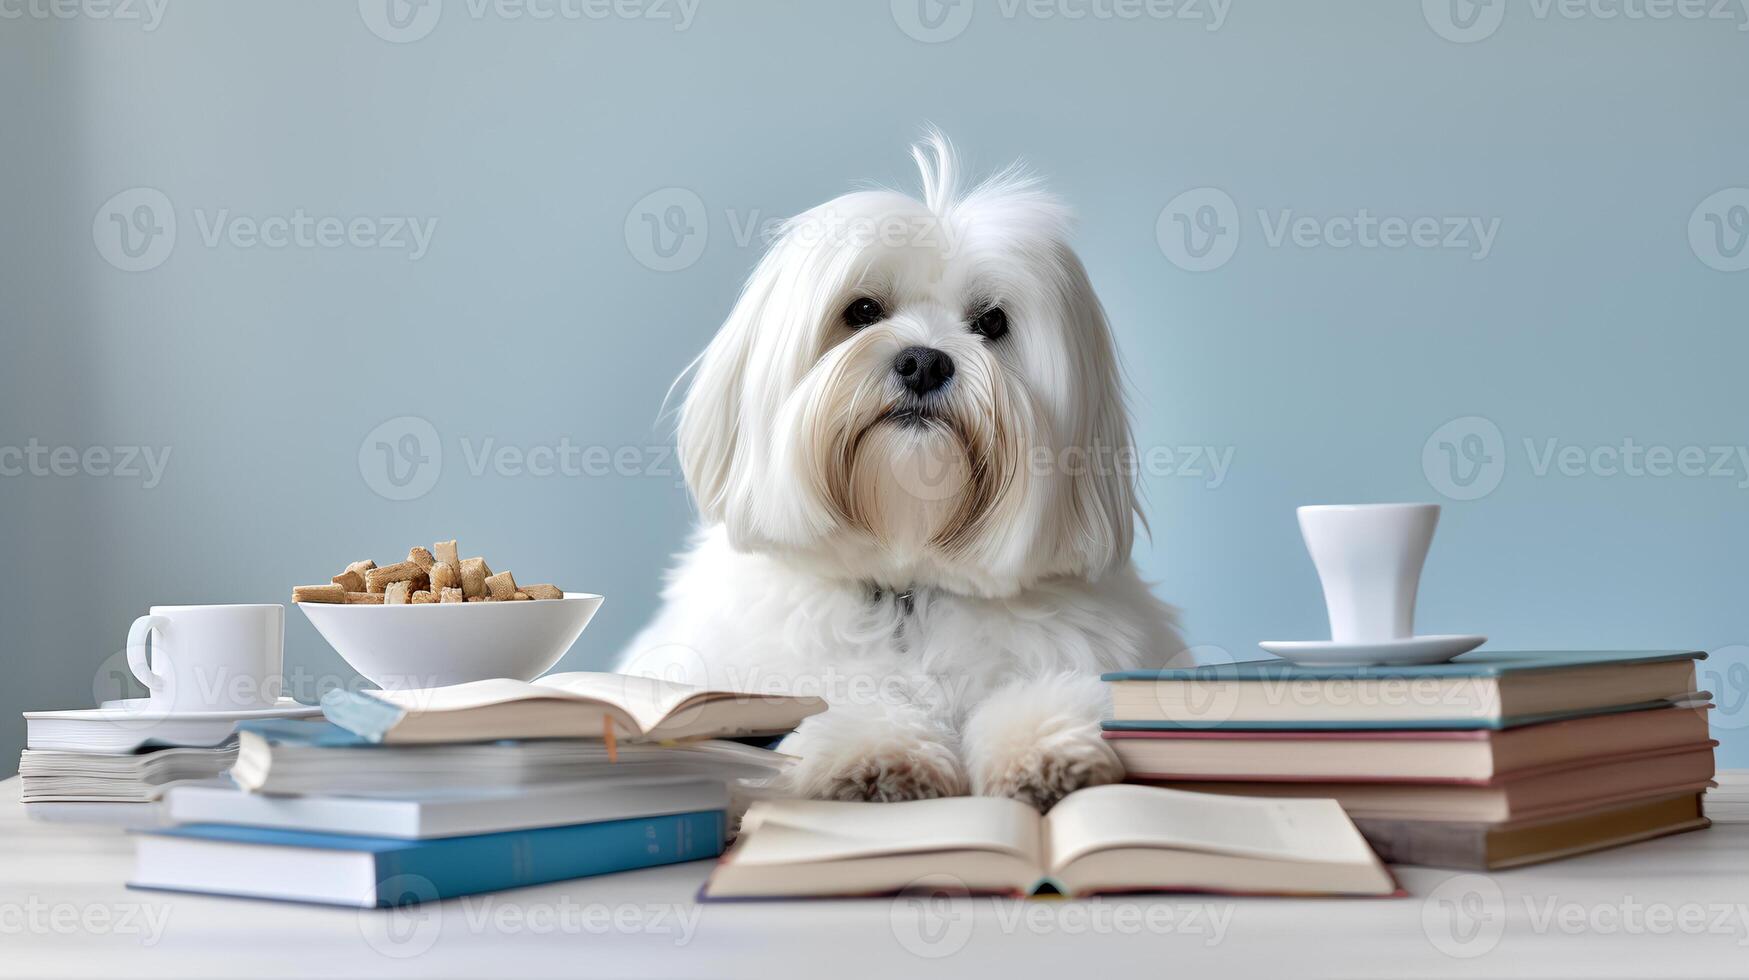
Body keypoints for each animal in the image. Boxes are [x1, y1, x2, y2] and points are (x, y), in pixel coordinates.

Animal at [619, 138, 1189, 812]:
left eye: (992, 323)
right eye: (863, 310)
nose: (923, 362)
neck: (909, 587)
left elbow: (1049, 692)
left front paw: (1044, 749)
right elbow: (851, 702)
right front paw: (878, 756)